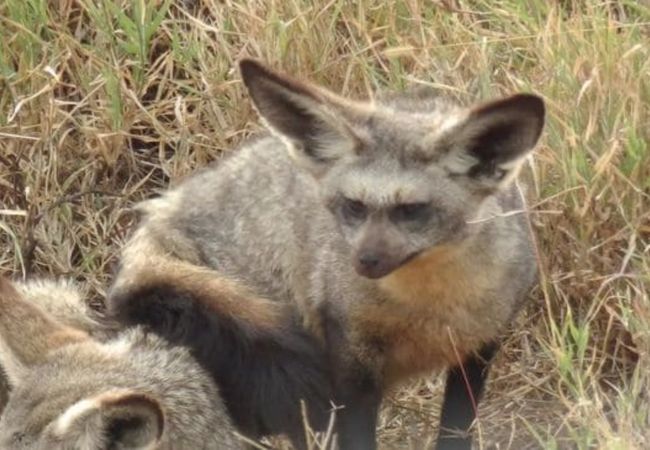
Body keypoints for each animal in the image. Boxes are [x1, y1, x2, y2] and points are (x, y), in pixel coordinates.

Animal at [107, 59, 540, 450]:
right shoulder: (349, 356)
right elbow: (359, 436)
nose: (364, 262)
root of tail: (158, 216)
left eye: (411, 210)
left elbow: (456, 431)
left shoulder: (480, 345)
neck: (427, 308)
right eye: (353, 206)